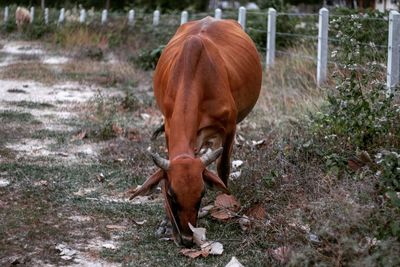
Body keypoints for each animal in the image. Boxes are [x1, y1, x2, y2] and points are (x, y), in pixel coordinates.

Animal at [130, 16, 262, 247]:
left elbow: (223, 167)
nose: (187, 238)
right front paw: (165, 223)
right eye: (171, 194)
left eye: (201, 194)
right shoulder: (169, 126)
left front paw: (223, 204)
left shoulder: (229, 127)